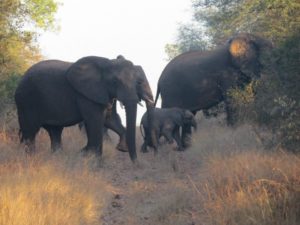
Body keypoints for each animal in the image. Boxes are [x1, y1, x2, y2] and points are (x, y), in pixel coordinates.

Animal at [14, 56, 154, 162]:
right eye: (114, 81)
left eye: (137, 83)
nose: (136, 162)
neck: (108, 62)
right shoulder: (86, 95)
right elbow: (95, 120)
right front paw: (93, 160)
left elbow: (110, 119)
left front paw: (120, 148)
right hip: (26, 101)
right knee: (30, 132)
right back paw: (31, 159)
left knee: (55, 132)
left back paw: (58, 159)